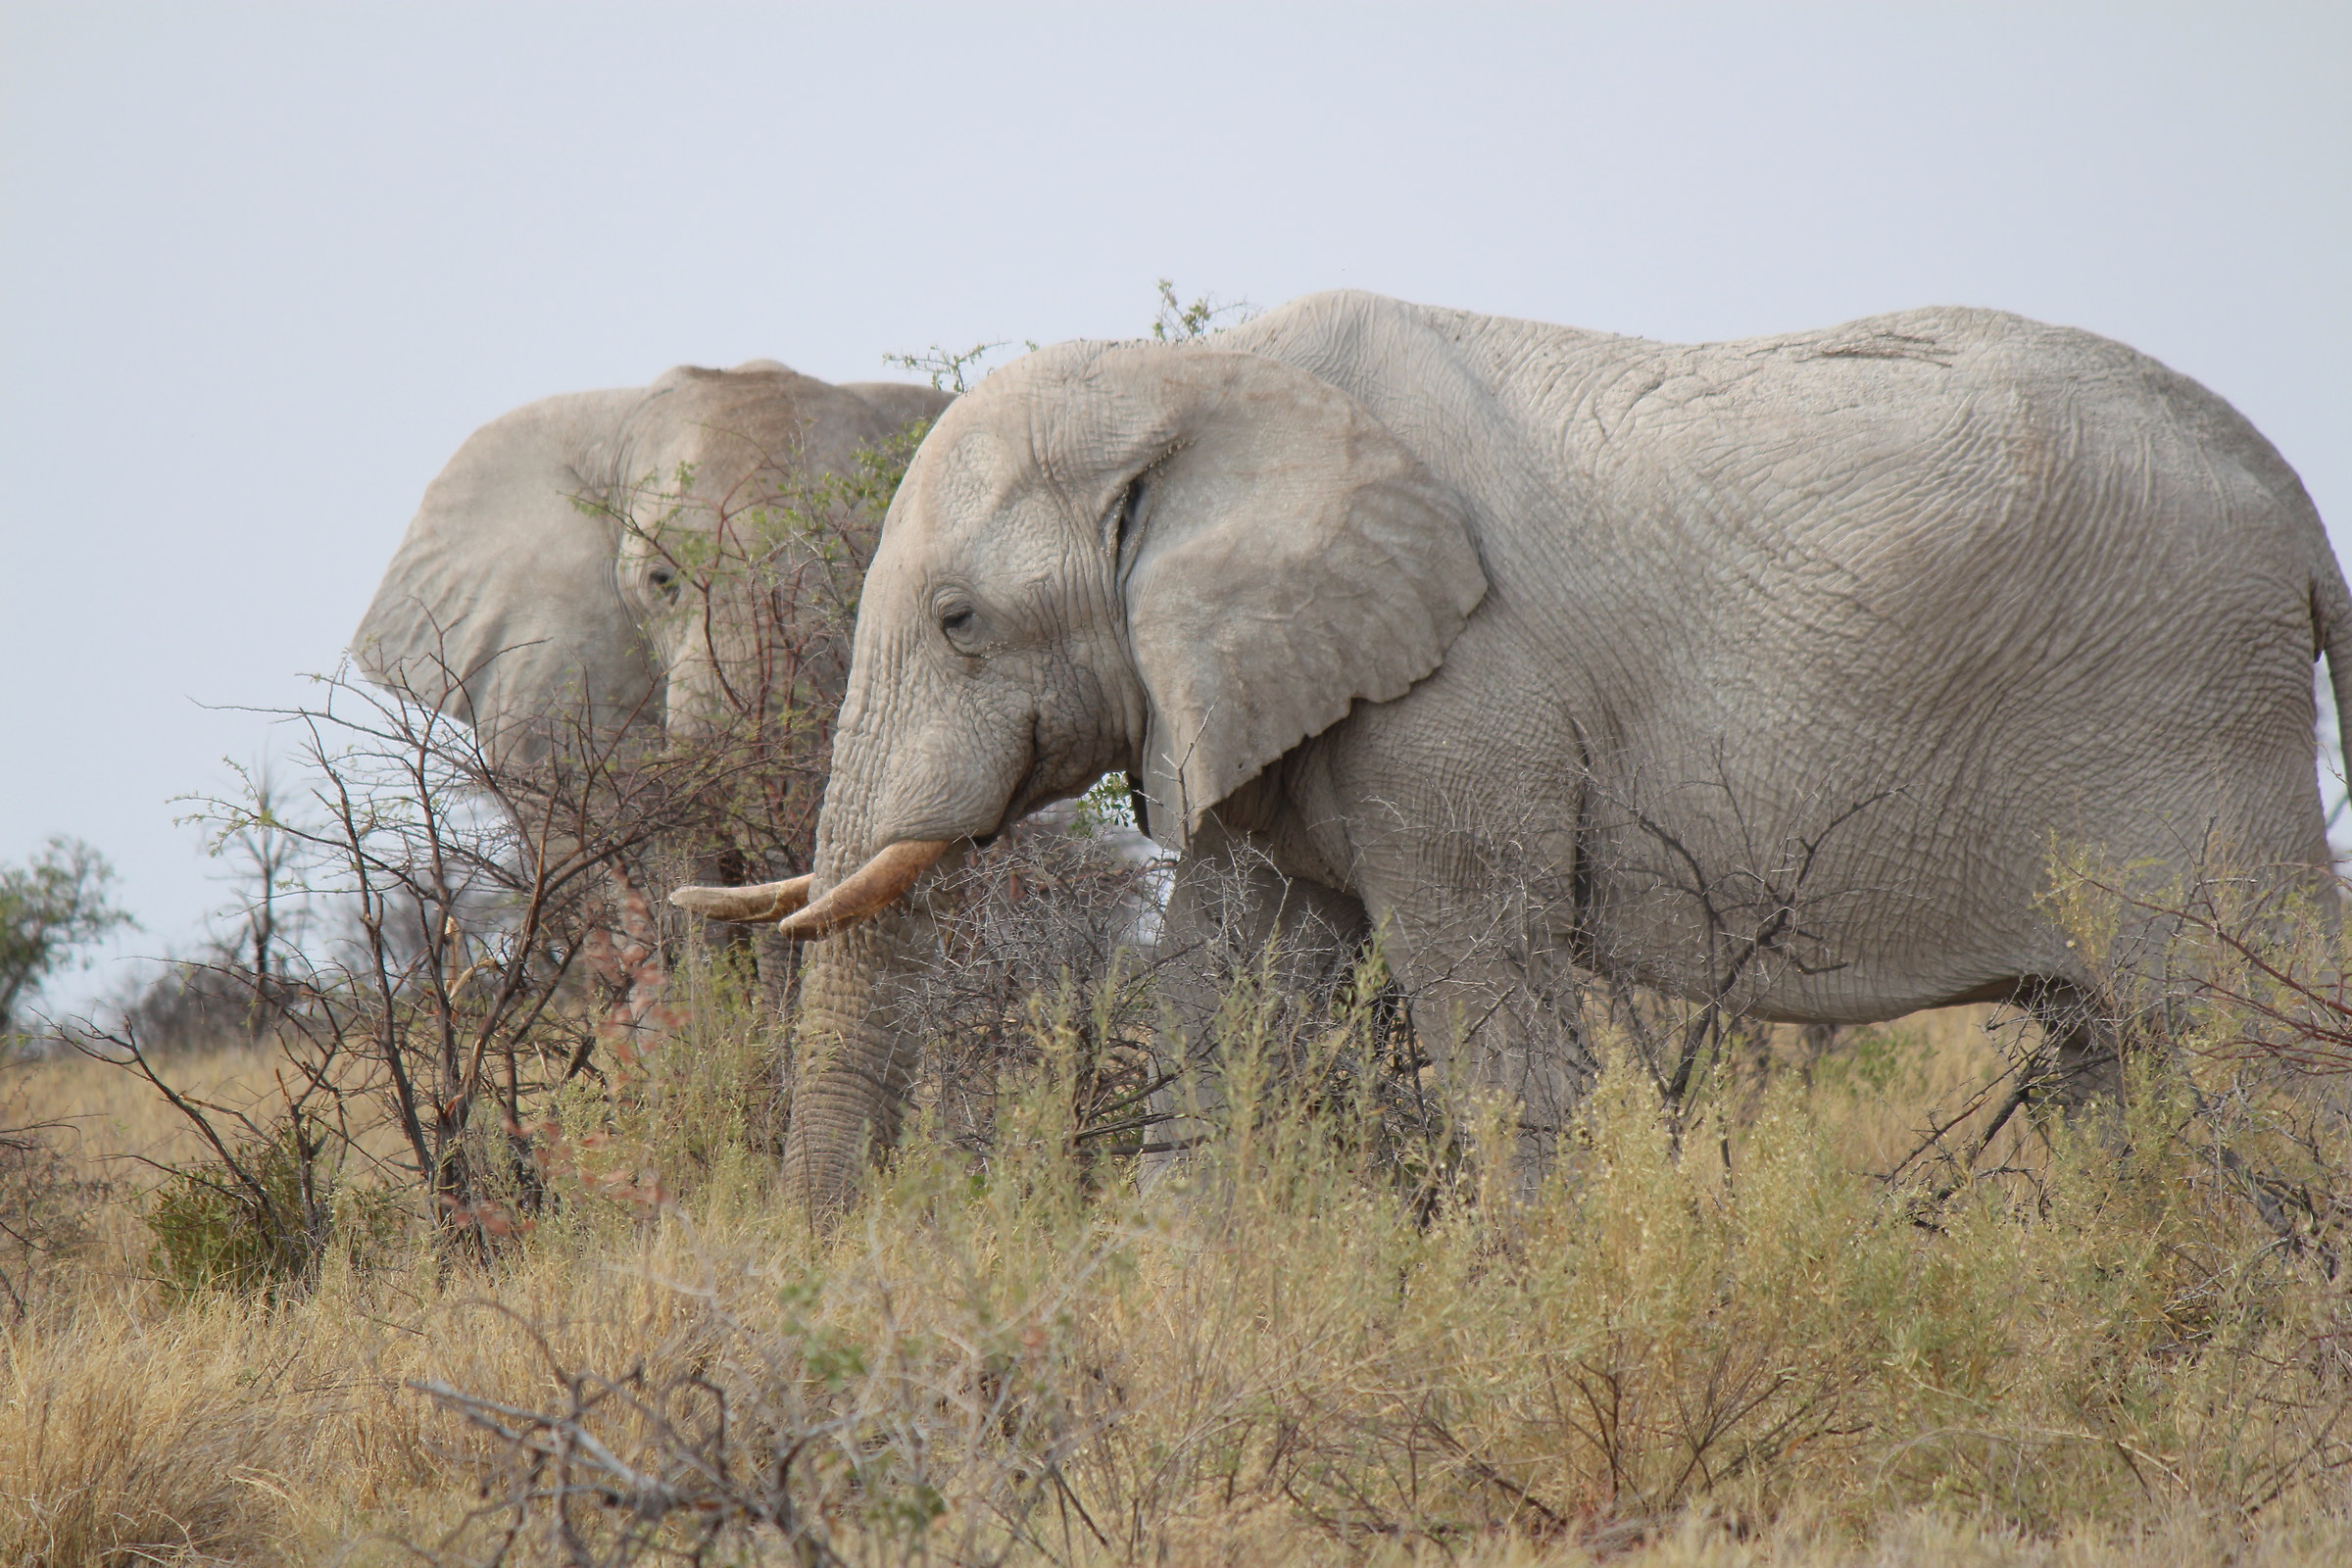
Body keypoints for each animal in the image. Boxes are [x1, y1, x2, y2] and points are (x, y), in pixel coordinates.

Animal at [681, 290, 2349, 1211]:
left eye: (958, 620)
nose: (826, 1256)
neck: (1217, 390)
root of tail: (2299, 510)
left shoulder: (1458, 706)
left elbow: (1482, 1003)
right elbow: (1226, 997)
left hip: (2191, 726)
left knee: (2259, 1047)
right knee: (2121, 1050)